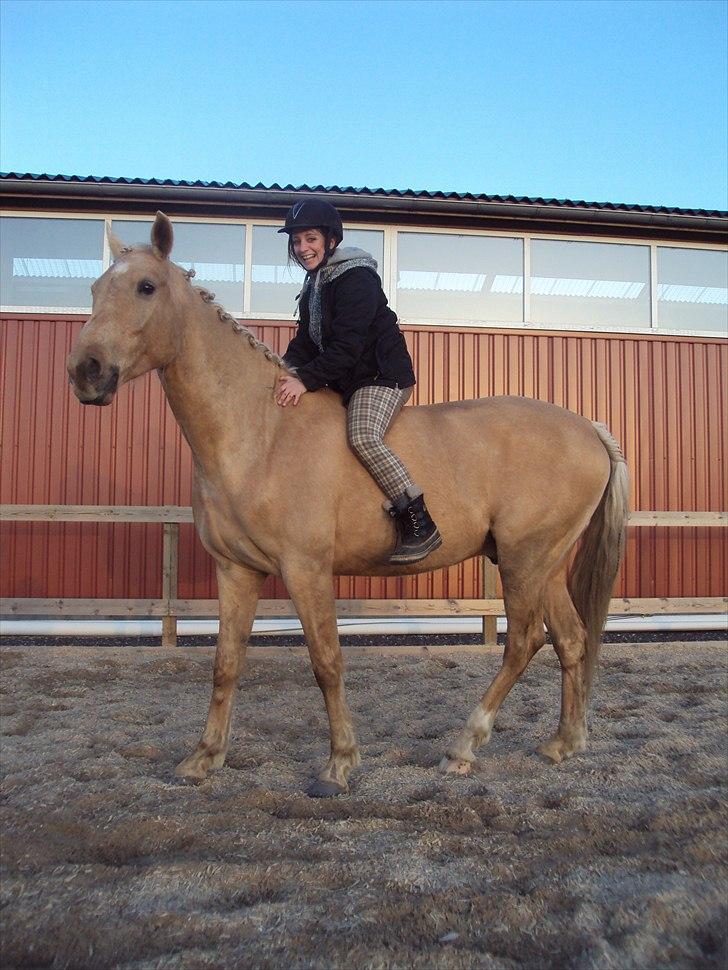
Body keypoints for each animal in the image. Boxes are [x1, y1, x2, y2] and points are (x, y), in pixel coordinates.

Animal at [67, 212, 624, 796]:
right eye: (95, 289)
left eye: (146, 287)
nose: (86, 371)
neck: (261, 431)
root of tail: (589, 429)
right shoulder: (236, 571)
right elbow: (226, 662)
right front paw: (203, 758)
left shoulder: (306, 568)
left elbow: (326, 660)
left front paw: (339, 764)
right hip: (544, 564)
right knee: (570, 640)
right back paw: (563, 743)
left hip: (523, 561)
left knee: (522, 642)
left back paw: (463, 747)